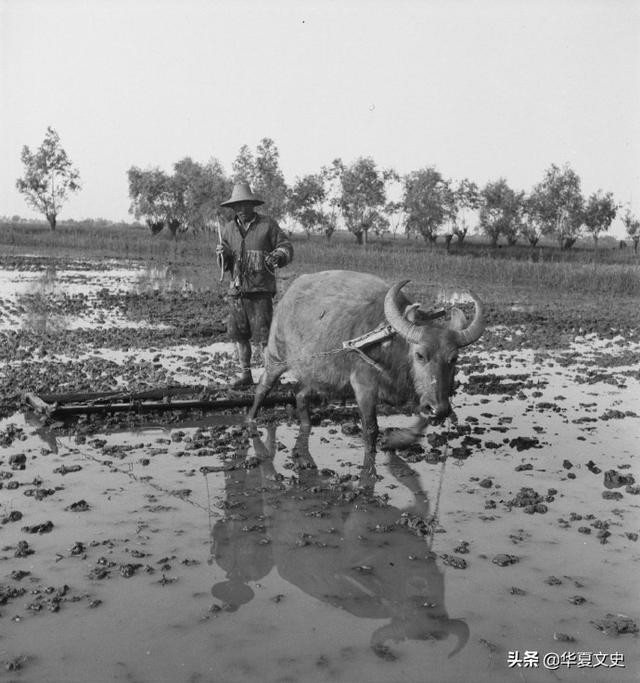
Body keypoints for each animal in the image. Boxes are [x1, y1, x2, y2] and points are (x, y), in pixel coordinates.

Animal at [246, 270, 484, 462]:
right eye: (420, 355)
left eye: (453, 358)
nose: (440, 410)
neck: (391, 345)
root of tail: (288, 296)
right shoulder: (364, 386)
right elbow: (370, 428)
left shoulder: (422, 395)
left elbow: (421, 423)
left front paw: (396, 439)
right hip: (275, 358)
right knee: (263, 388)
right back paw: (250, 420)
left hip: (316, 372)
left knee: (301, 395)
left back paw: (306, 426)